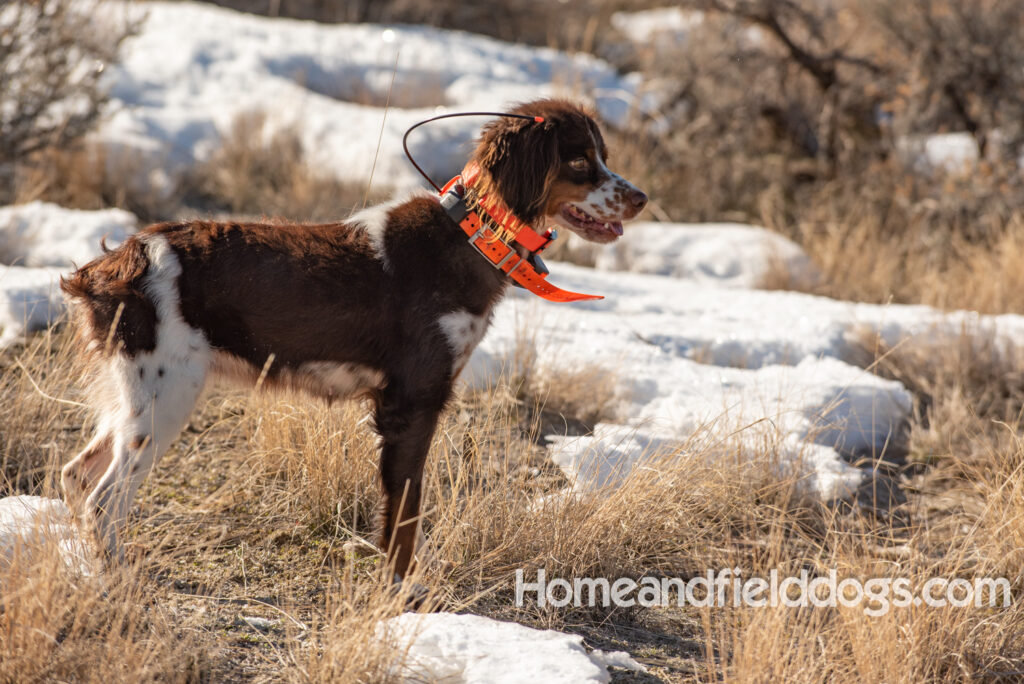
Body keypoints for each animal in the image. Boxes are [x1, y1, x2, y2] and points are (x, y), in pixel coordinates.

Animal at [58, 98, 647, 585]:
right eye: (579, 162)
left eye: (603, 155)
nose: (641, 198)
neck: (472, 238)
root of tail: (121, 259)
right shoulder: (412, 402)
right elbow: (405, 514)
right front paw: (403, 592)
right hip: (166, 397)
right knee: (105, 499)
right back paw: (117, 580)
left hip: (133, 400)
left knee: (77, 476)